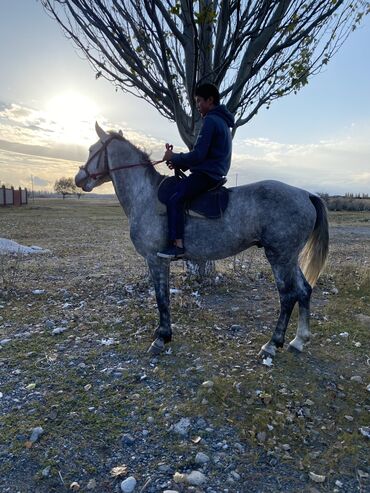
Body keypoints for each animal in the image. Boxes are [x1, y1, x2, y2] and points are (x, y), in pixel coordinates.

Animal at [73, 121, 328, 356]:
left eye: (92, 149)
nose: (78, 179)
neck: (145, 194)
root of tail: (306, 194)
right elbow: (164, 296)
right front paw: (163, 334)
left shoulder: (156, 260)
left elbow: (162, 297)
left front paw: (161, 337)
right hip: (289, 258)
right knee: (304, 290)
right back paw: (298, 340)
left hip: (279, 257)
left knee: (288, 296)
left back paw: (272, 344)